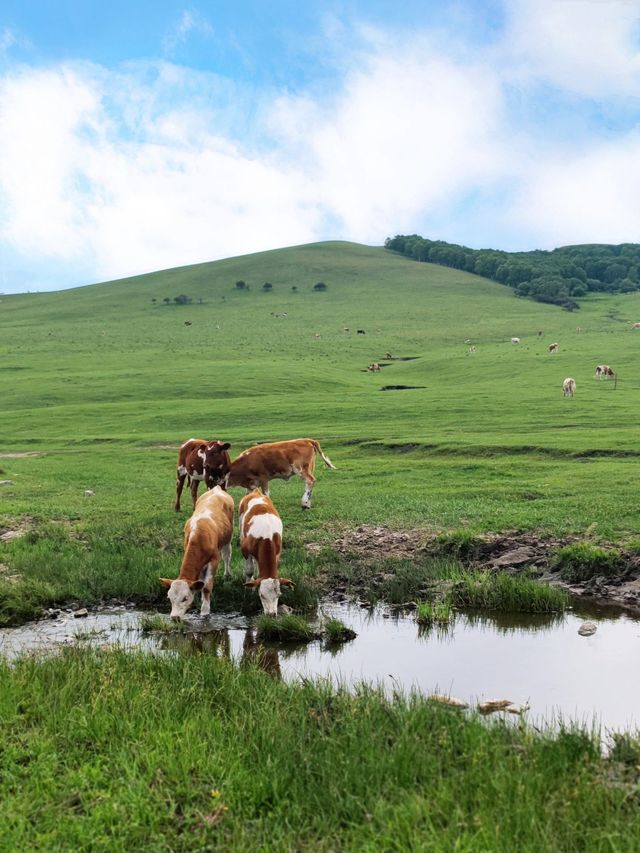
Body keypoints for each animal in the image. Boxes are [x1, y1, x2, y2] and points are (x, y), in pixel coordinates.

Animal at [159, 486, 234, 620]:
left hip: (228, 538)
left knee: (227, 555)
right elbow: (200, 583)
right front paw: (202, 600)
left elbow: (207, 587)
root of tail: (216, 489)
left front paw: (205, 611)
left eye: (185, 598)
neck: (198, 535)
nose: (174, 617)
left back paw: (227, 574)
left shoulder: (214, 560)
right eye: (169, 598)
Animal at [202, 440, 338, 506]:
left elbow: (266, 494)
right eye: (205, 453)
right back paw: (308, 502)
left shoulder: (264, 478)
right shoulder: (252, 484)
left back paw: (304, 503)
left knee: (310, 481)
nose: (204, 465)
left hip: (301, 469)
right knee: (310, 483)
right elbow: (247, 497)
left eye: (214, 453)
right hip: (309, 468)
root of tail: (307, 440)